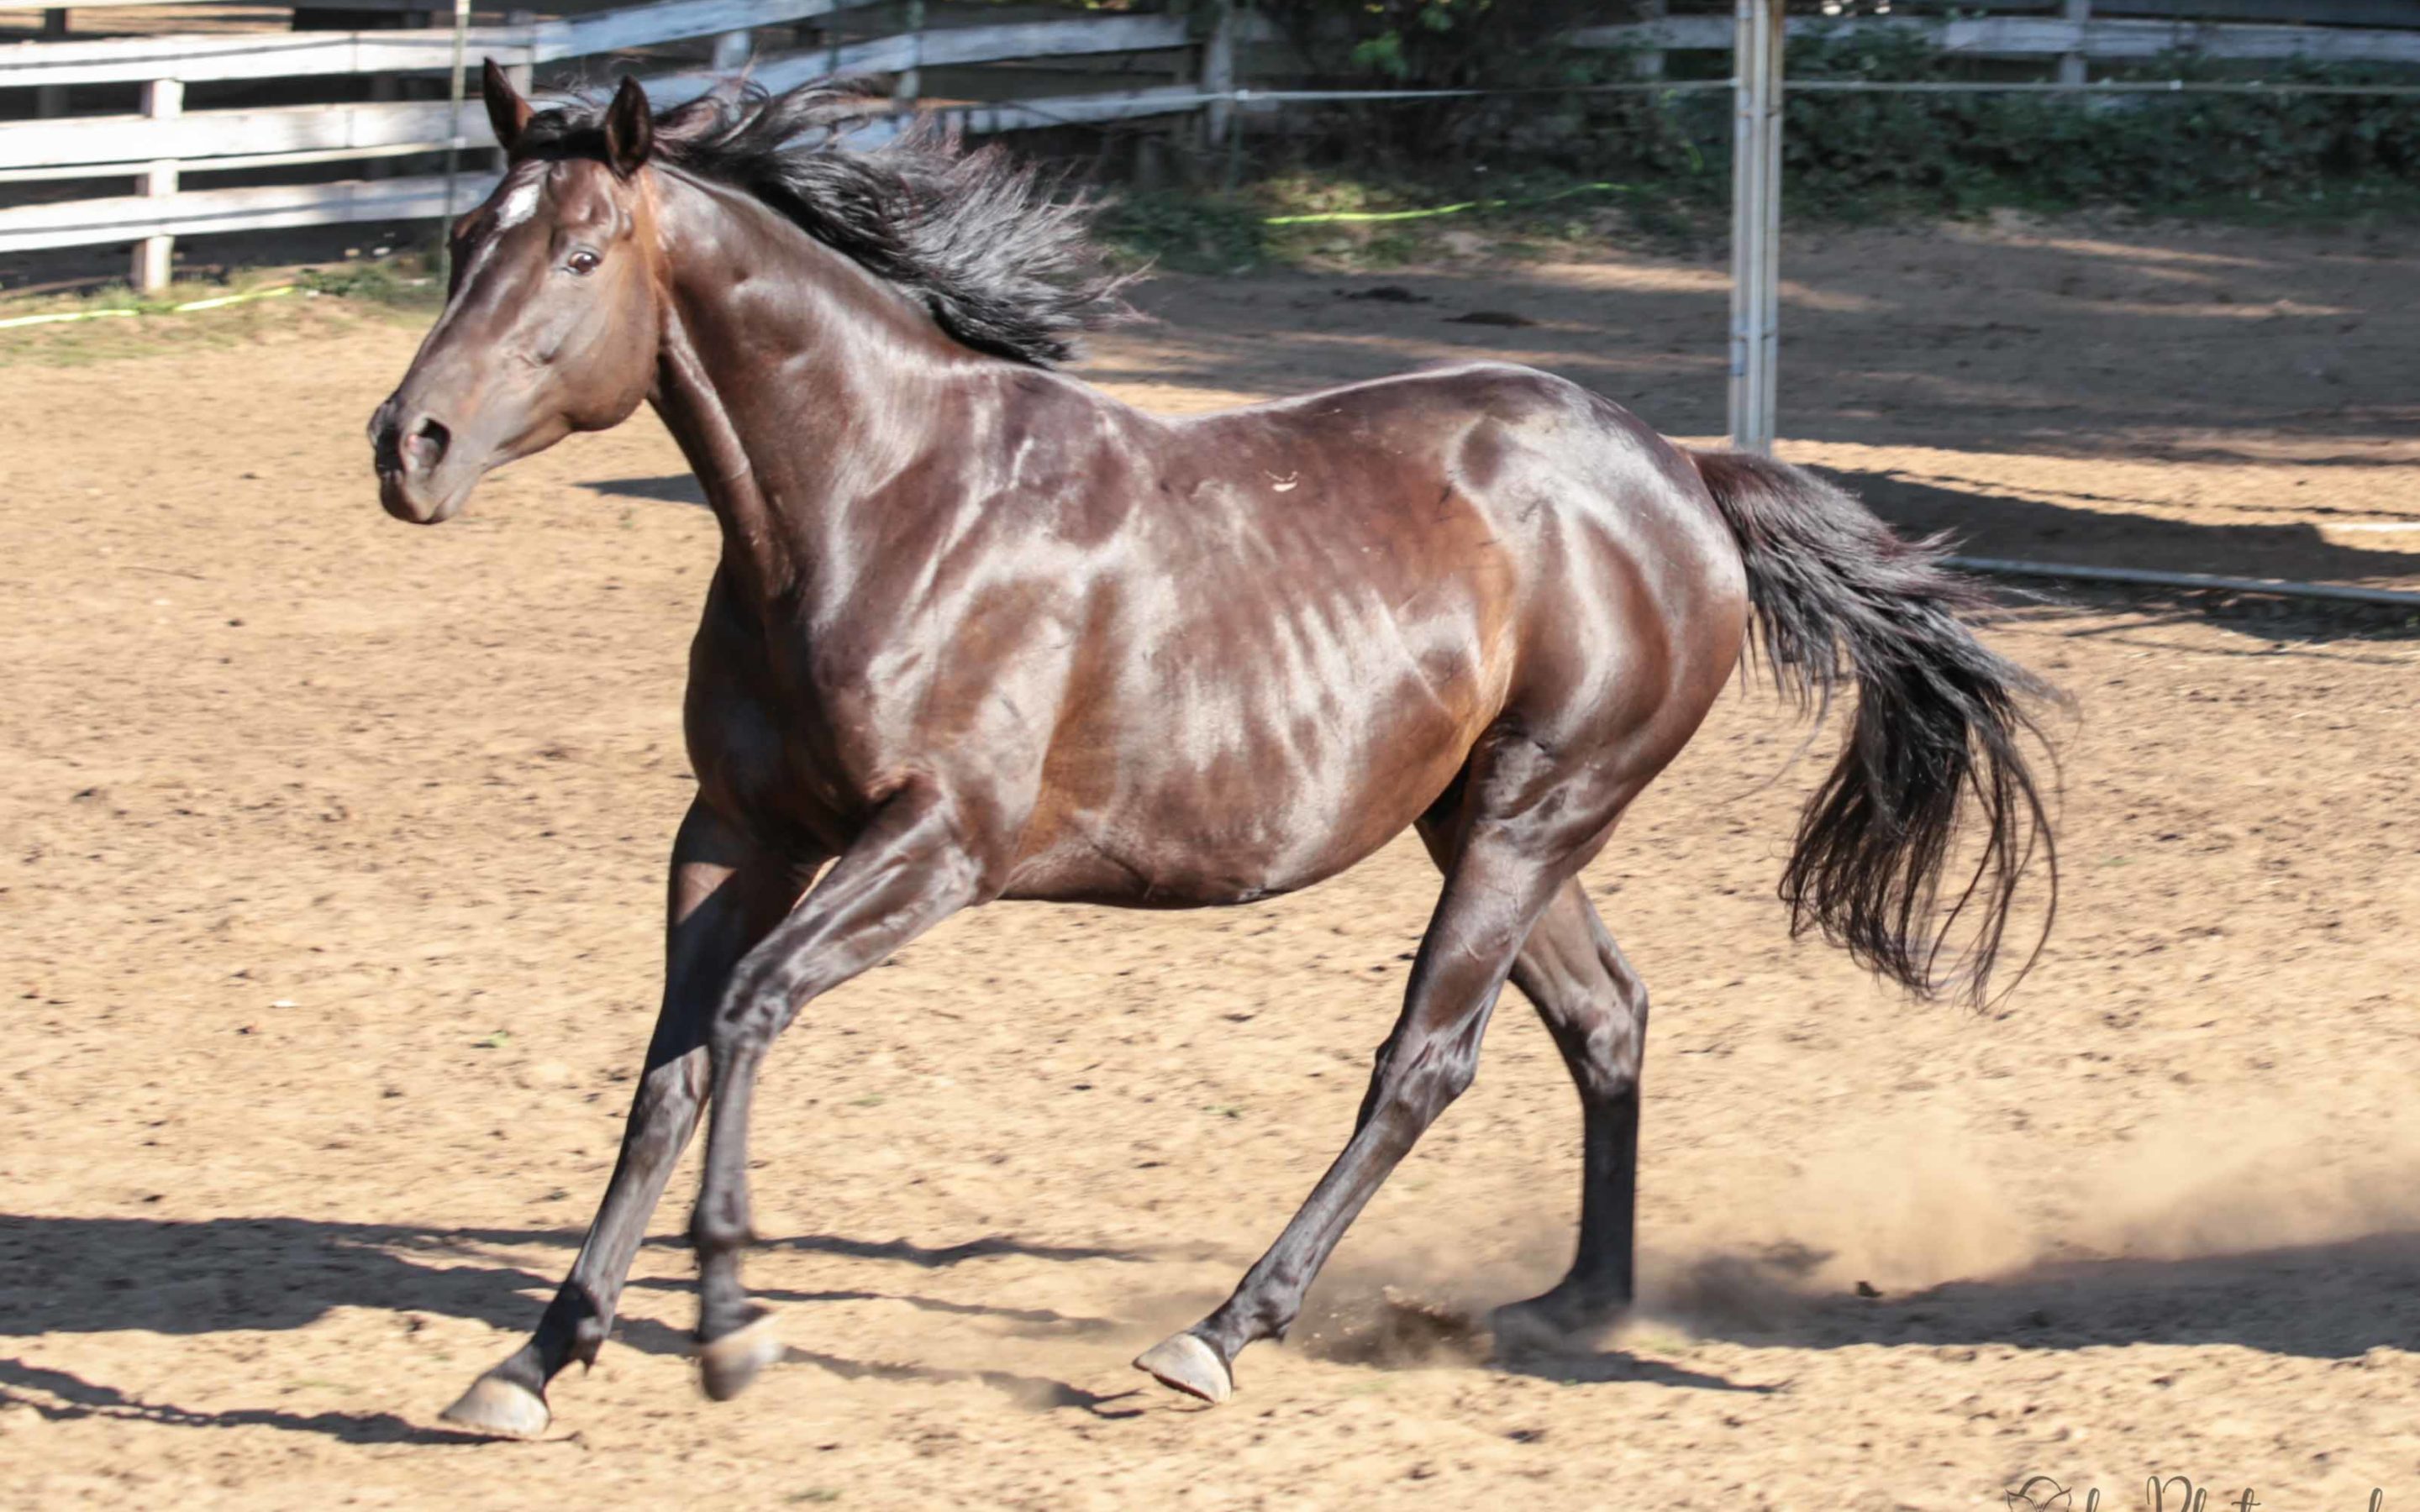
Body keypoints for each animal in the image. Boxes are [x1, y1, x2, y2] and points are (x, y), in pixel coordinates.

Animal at [367, 67, 2052, 1441]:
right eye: (459, 238)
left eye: (581, 255)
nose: (408, 446)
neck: (879, 506)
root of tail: (1682, 476)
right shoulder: (733, 832)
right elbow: (666, 1068)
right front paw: (535, 1358)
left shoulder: (937, 847)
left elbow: (749, 1017)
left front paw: (726, 1331)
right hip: (1484, 824)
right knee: (1606, 1020)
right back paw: (1576, 1307)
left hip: (1535, 811)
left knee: (1425, 1062)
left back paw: (1222, 1332)